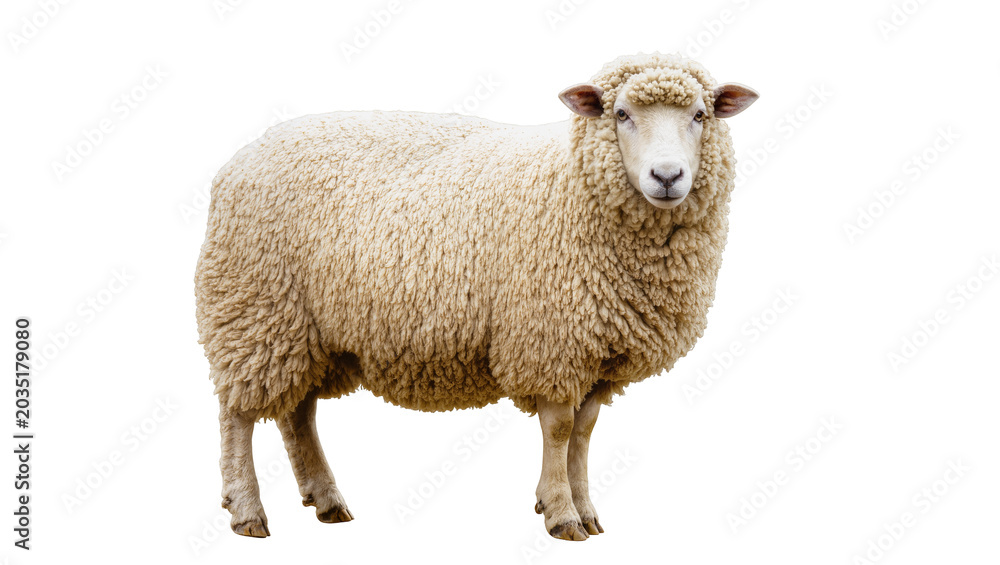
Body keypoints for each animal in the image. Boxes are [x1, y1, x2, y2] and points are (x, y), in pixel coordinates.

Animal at [195, 52, 758, 541]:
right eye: (620, 114)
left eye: (701, 115)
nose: (667, 176)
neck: (573, 184)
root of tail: (238, 158)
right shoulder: (549, 339)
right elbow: (559, 429)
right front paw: (560, 514)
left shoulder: (597, 351)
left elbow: (584, 432)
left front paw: (585, 509)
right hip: (252, 307)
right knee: (237, 415)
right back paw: (247, 510)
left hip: (304, 329)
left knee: (298, 412)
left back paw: (327, 500)